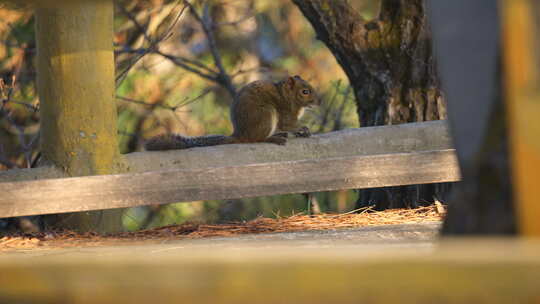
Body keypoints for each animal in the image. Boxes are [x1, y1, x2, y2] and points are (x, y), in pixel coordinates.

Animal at [144, 75, 320, 151]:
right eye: (305, 92)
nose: (319, 101)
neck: (286, 95)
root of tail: (240, 135)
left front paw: (302, 132)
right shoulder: (285, 113)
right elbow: (288, 124)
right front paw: (303, 129)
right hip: (266, 115)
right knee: (256, 139)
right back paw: (273, 138)